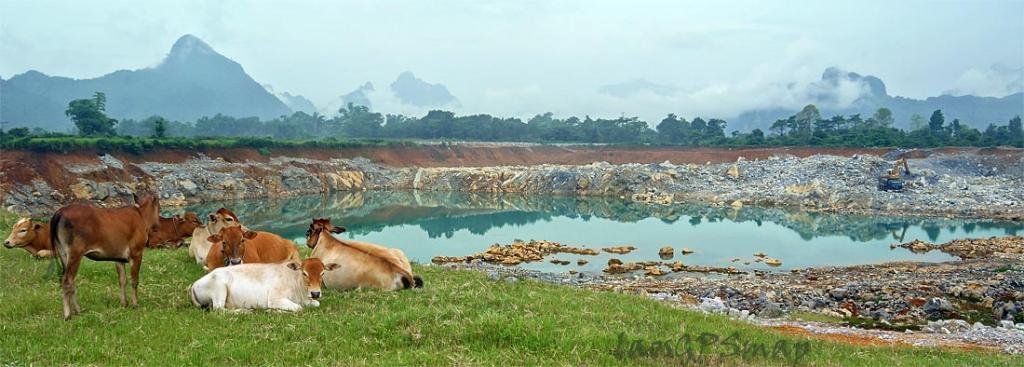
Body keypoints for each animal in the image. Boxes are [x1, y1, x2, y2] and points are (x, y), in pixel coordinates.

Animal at [188, 256, 339, 311]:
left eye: (322, 273)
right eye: (304, 273)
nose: (315, 293)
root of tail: (194, 284)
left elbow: (315, 303)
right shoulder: (275, 299)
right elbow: (298, 308)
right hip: (219, 290)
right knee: (218, 309)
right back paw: (244, 311)